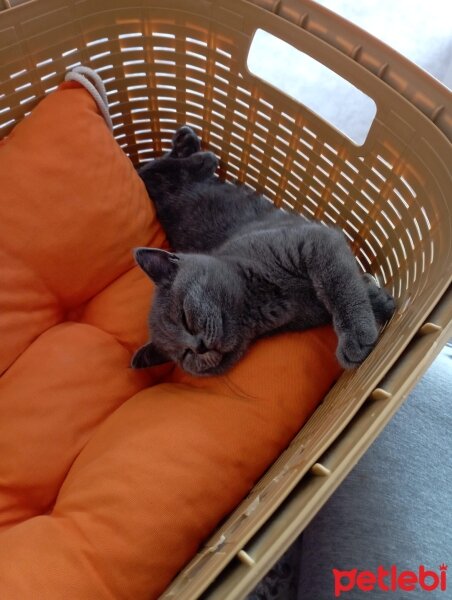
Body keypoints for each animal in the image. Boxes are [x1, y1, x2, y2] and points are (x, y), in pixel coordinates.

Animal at [132, 125, 394, 376]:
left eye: (185, 318)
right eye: (185, 355)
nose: (199, 347)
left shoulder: (314, 240)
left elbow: (340, 285)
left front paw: (360, 332)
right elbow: (342, 288)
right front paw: (380, 301)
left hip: (159, 182)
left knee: (154, 168)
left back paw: (195, 150)